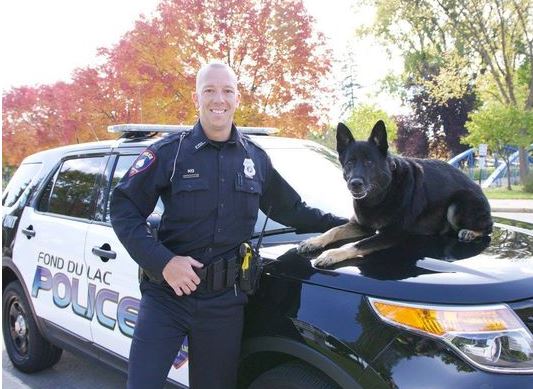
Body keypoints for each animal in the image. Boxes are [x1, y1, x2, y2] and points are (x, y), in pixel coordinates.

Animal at [298, 120, 492, 266]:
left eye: (369, 162)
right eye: (349, 163)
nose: (355, 184)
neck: (383, 193)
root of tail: (479, 190)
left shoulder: (392, 234)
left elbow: (358, 244)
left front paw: (332, 254)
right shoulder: (362, 226)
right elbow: (334, 230)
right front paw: (314, 241)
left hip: (458, 204)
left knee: (488, 227)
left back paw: (471, 232)